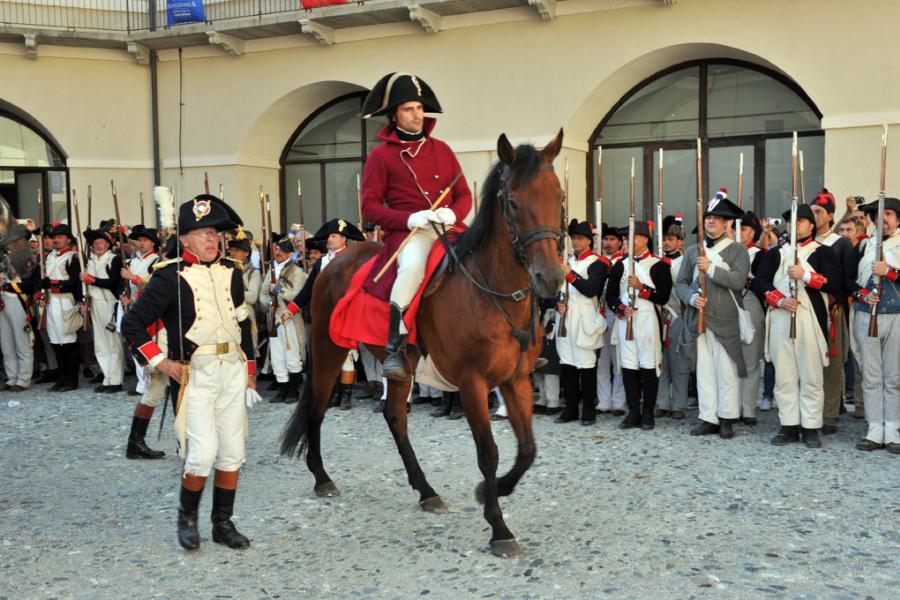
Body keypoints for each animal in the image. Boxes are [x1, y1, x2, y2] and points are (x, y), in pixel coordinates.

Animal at [282, 129, 564, 556]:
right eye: (513, 201)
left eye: (559, 197)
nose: (551, 278)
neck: (492, 292)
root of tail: (334, 260)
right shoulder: (472, 384)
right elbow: (489, 452)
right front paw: (498, 527)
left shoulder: (515, 380)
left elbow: (528, 449)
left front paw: (493, 491)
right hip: (330, 350)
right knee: (316, 408)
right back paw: (322, 477)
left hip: (401, 366)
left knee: (395, 417)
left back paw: (426, 490)